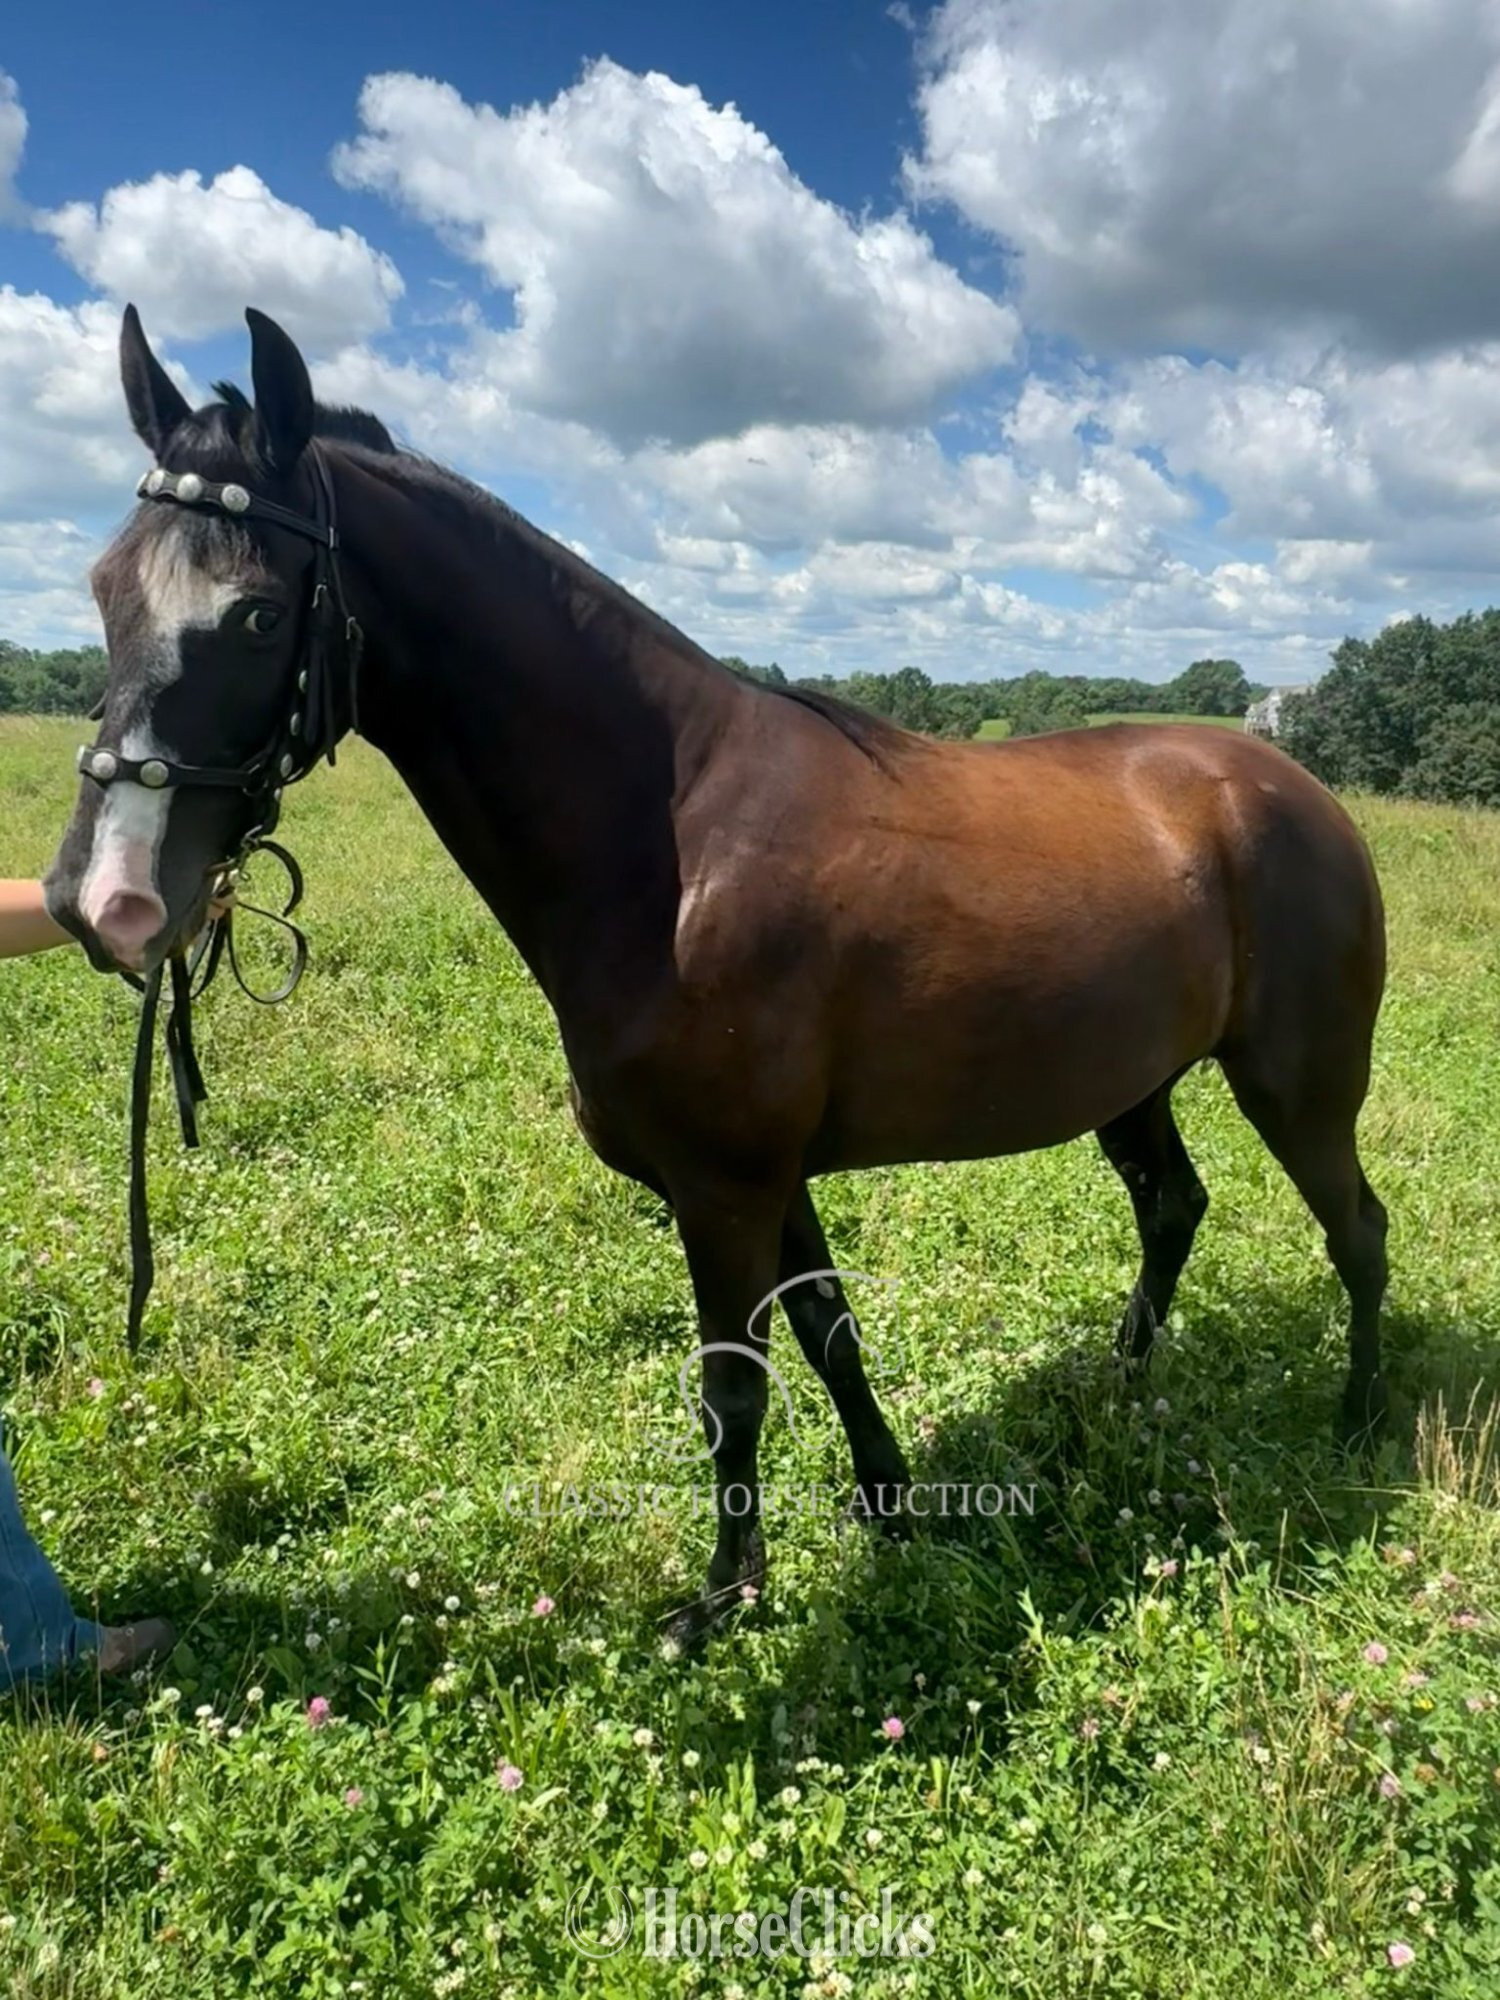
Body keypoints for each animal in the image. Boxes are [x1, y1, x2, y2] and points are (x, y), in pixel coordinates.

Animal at [45, 307, 1390, 1642]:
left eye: (258, 613)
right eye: (105, 587)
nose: (101, 899)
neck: (676, 837)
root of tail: (1294, 783)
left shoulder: (722, 1184)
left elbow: (734, 1386)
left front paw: (727, 1591)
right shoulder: (770, 1175)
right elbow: (829, 1329)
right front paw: (887, 1501)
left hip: (1300, 1085)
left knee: (1358, 1230)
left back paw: (1361, 1420)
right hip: (1133, 1083)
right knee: (1173, 1209)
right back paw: (1116, 1388)